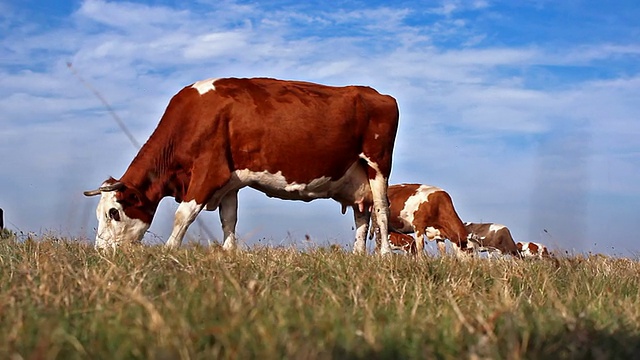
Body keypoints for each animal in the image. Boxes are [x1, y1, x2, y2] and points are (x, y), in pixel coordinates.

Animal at [82, 77, 398, 255]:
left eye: (113, 212)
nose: (102, 253)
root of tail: (378, 94)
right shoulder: (229, 182)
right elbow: (229, 219)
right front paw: (230, 253)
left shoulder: (209, 170)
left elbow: (183, 214)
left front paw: (168, 251)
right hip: (357, 177)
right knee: (362, 216)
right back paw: (357, 257)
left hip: (377, 164)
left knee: (381, 211)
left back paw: (383, 256)